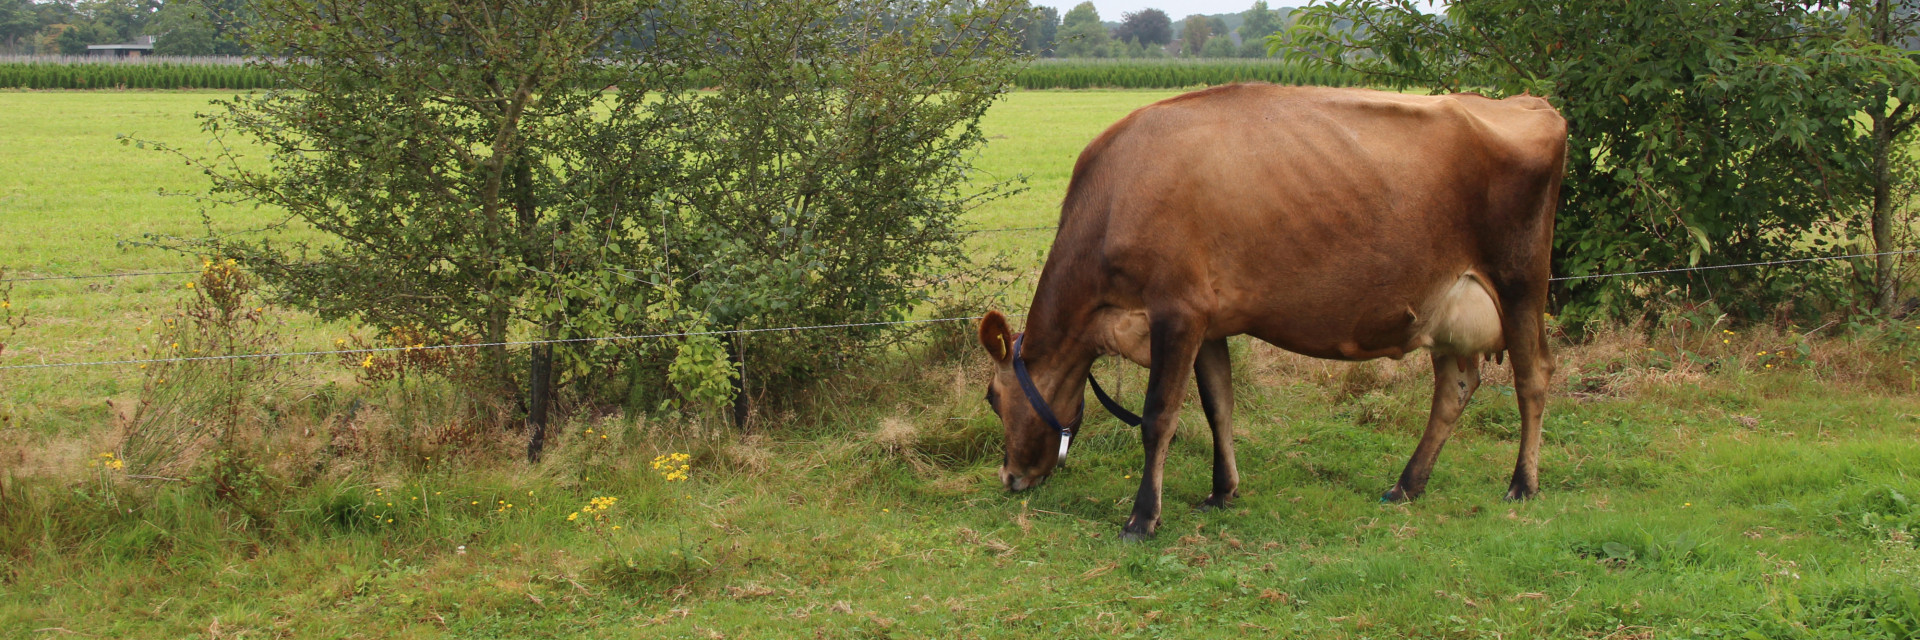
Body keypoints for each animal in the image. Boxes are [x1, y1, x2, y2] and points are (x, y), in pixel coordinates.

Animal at [967, 81, 1566, 538]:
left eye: (993, 397)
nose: (1009, 477)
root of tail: (1530, 103)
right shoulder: (1209, 321)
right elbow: (1219, 406)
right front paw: (1222, 491)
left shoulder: (1176, 310)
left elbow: (1160, 416)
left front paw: (1142, 519)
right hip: (1447, 309)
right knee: (1456, 388)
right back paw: (1407, 484)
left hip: (1520, 283)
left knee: (1533, 375)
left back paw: (1523, 484)